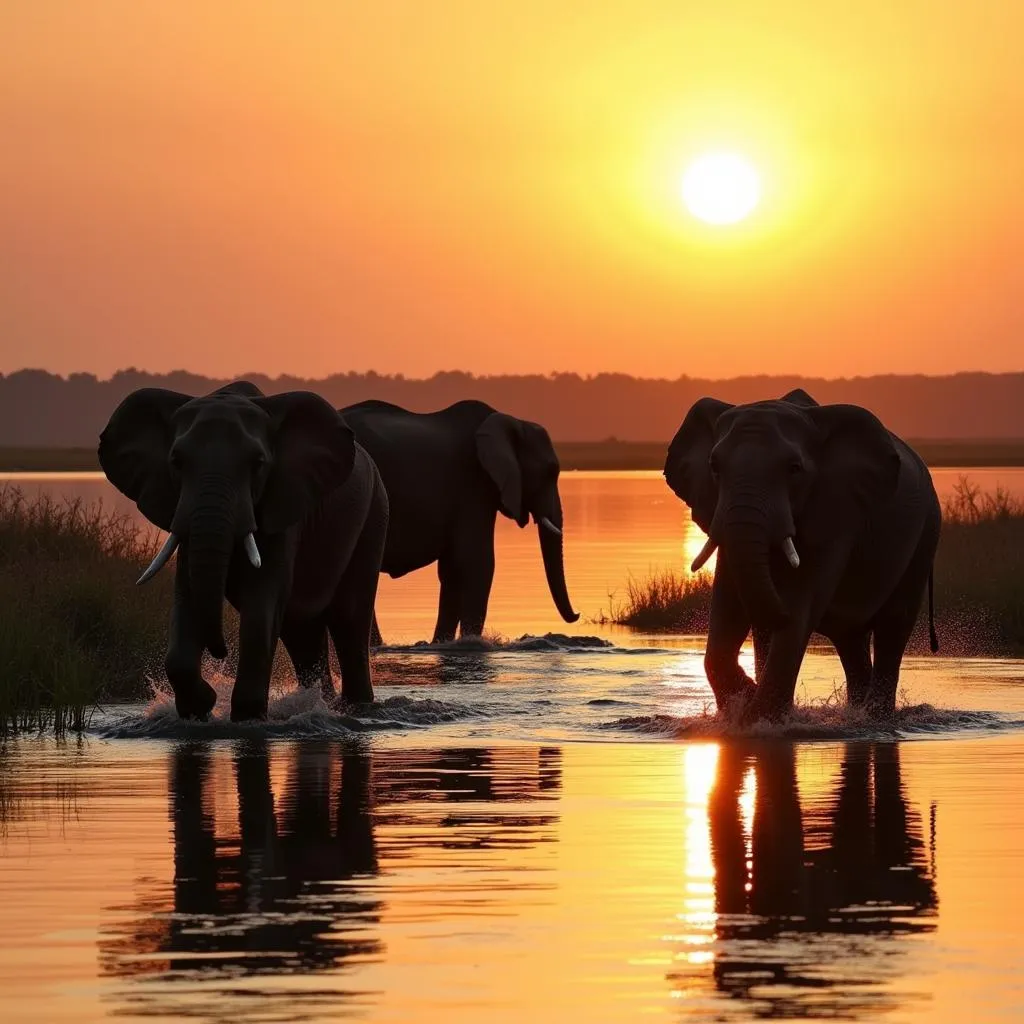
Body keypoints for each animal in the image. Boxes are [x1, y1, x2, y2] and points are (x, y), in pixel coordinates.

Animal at [99, 382, 387, 720]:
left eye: (258, 463)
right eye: (176, 462)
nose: (220, 652)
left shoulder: (284, 505)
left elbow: (262, 601)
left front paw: (246, 716)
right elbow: (187, 595)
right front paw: (201, 708)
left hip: (374, 514)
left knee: (349, 620)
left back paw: (355, 708)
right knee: (301, 630)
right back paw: (318, 704)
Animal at [342, 397, 577, 638]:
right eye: (550, 471)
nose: (577, 616)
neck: (511, 420)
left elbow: (452, 569)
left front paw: (441, 643)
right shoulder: (474, 485)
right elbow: (477, 562)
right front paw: (471, 641)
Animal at [659, 389, 937, 720]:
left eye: (794, 469)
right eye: (714, 467)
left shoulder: (837, 510)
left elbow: (803, 599)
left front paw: (759, 717)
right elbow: (728, 599)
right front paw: (744, 705)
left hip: (926, 533)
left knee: (893, 624)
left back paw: (875, 717)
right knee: (849, 637)